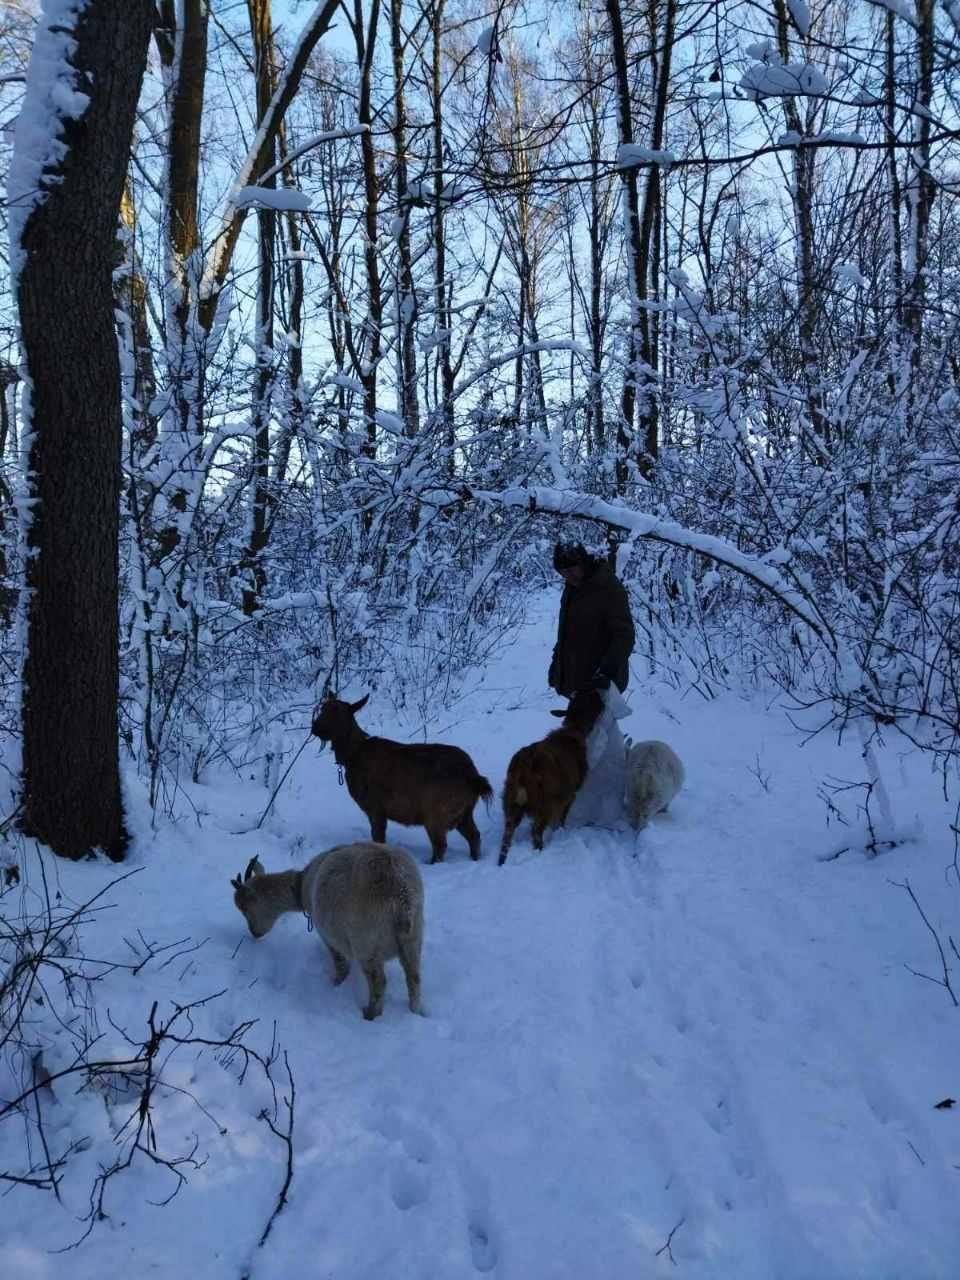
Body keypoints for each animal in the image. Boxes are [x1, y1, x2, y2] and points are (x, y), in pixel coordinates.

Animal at [229, 839, 424, 1018]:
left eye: (245, 908)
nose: (255, 933)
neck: (302, 886)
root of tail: (401, 896)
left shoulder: (328, 935)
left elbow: (341, 964)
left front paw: (336, 984)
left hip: (366, 942)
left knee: (379, 981)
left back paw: (370, 1013)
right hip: (414, 937)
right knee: (413, 976)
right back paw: (415, 1011)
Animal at [313, 696, 496, 865]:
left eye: (337, 711)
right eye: (323, 708)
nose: (315, 727)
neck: (353, 756)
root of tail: (475, 778)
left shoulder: (376, 806)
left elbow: (378, 837)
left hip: (437, 811)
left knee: (440, 845)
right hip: (464, 812)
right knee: (474, 835)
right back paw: (474, 858)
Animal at [499, 686, 604, 865]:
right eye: (591, 698)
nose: (599, 695)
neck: (574, 729)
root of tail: (522, 766)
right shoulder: (570, 794)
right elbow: (562, 819)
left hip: (511, 804)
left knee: (507, 835)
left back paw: (502, 860)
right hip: (545, 804)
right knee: (536, 832)